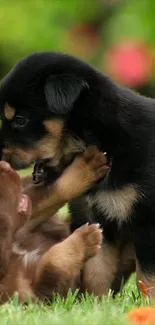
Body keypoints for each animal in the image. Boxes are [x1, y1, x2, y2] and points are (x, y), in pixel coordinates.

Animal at [0, 148, 108, 302]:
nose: (5, 165)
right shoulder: (36, 294)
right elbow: (51, 263)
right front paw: (85, 238)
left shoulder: (23, 227)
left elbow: (48, 195)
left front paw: (86, 168)